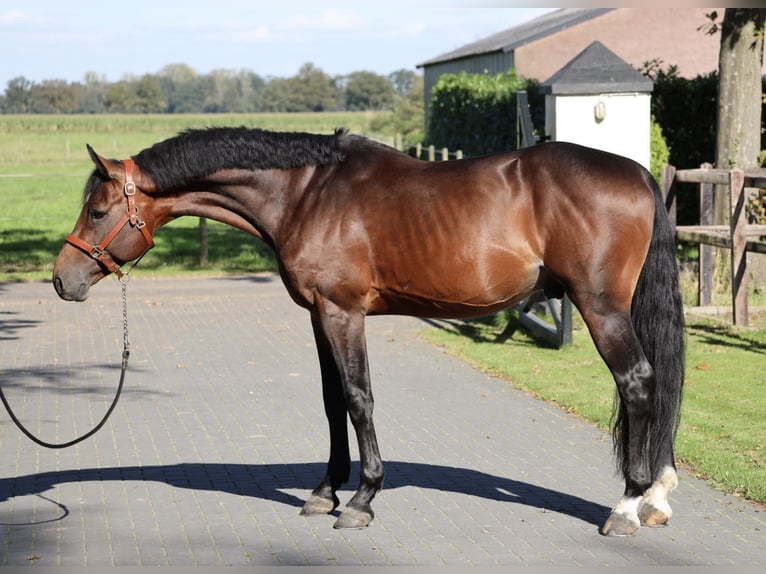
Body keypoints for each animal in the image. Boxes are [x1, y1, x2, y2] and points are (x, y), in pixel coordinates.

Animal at [55, 128, 688, 536]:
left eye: (97, 211)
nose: (63, 279)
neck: (307, 191)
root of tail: (636, 172)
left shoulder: (343, 312)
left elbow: (359, 399)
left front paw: (362, 498)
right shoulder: (317, 314)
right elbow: (332, 400)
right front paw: (324, 491)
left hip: (601, 308)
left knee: (638, 382)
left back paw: (628, 505)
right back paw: (656, 495)